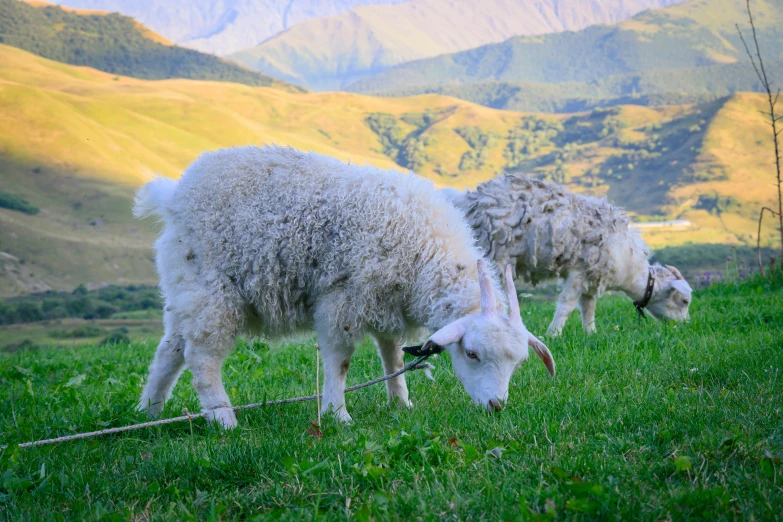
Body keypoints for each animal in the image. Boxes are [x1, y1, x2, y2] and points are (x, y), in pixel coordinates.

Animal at [135, 143, 556, 426]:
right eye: (471, 354)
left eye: (518, 363)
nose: (497, 406)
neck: (426, 250)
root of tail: (174, 197)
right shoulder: (343, 301)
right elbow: (340, 361)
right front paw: (338, 414)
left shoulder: (389, 305)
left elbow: (393, 356)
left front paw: (400, 402)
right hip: (212, 290)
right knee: (202, 357)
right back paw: (223, 418)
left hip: (185, 286)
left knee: (170, 349)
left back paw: (149, 411)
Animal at [444, 173, 696, 336]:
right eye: (684, 301)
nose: (685, 325)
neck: (629, 264)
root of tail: (467, 199)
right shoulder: (580, 271)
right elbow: (566, 304)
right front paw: (553, 333)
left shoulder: (593, 277)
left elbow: (588, 306)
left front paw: (591, 332)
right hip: (492, 251)